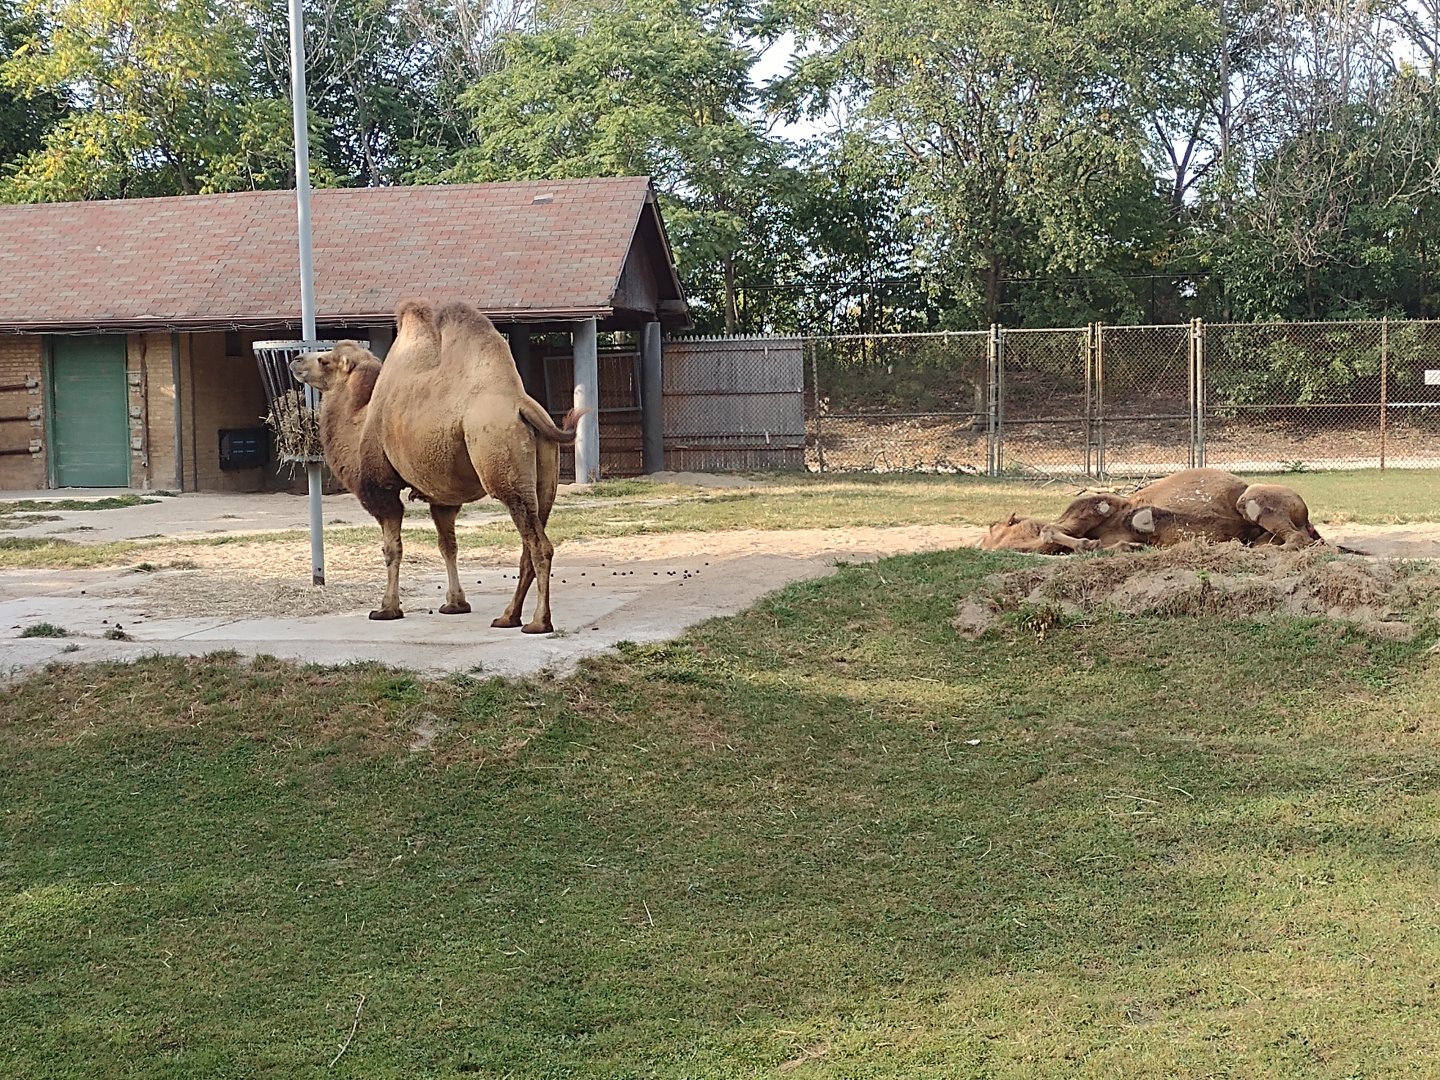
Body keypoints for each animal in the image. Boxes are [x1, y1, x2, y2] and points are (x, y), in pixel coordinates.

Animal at [290, 298, 583, 633]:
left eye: (324, 360)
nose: (296, 360)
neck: (359, 421)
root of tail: (523, 407)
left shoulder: (381, 490)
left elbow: (392, 549)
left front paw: (387, 608)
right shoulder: (443, 497)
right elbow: (448, 545)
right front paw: (455, 604)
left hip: (502, 465)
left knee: (537, 545)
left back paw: (537, 622)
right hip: (544, 481)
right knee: (530, 541)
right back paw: (508, 616)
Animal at [982, 468, 1323, 555]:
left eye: (997, 527)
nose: (982, 545)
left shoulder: (1102, 504)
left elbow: (1051, 529)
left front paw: (1087, 543)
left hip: (1251, 500)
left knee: (1299, 540)